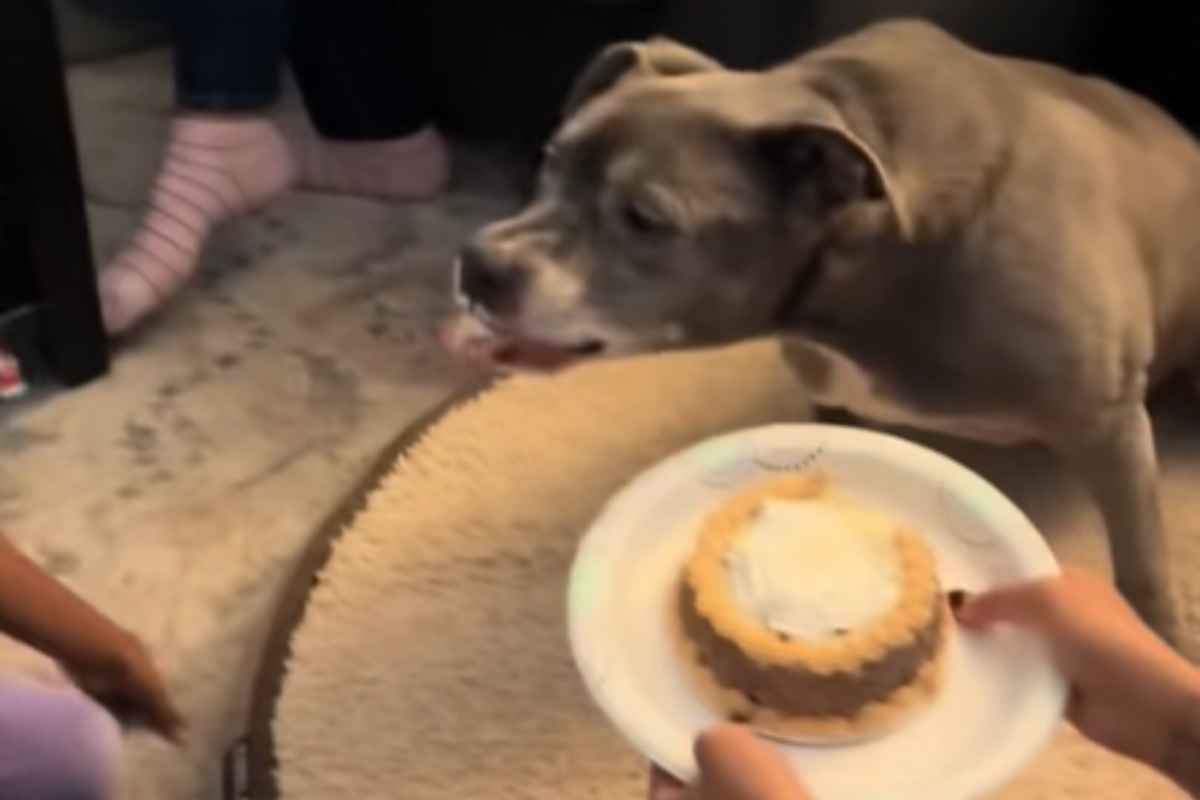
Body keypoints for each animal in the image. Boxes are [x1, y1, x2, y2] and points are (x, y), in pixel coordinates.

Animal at [444, 19, 1200, 652]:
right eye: (549, 160)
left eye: (645, 218)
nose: (477, 264)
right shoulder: (833, 401)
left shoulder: (1105, 424)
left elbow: (1142, 568)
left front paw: (1163, 649)